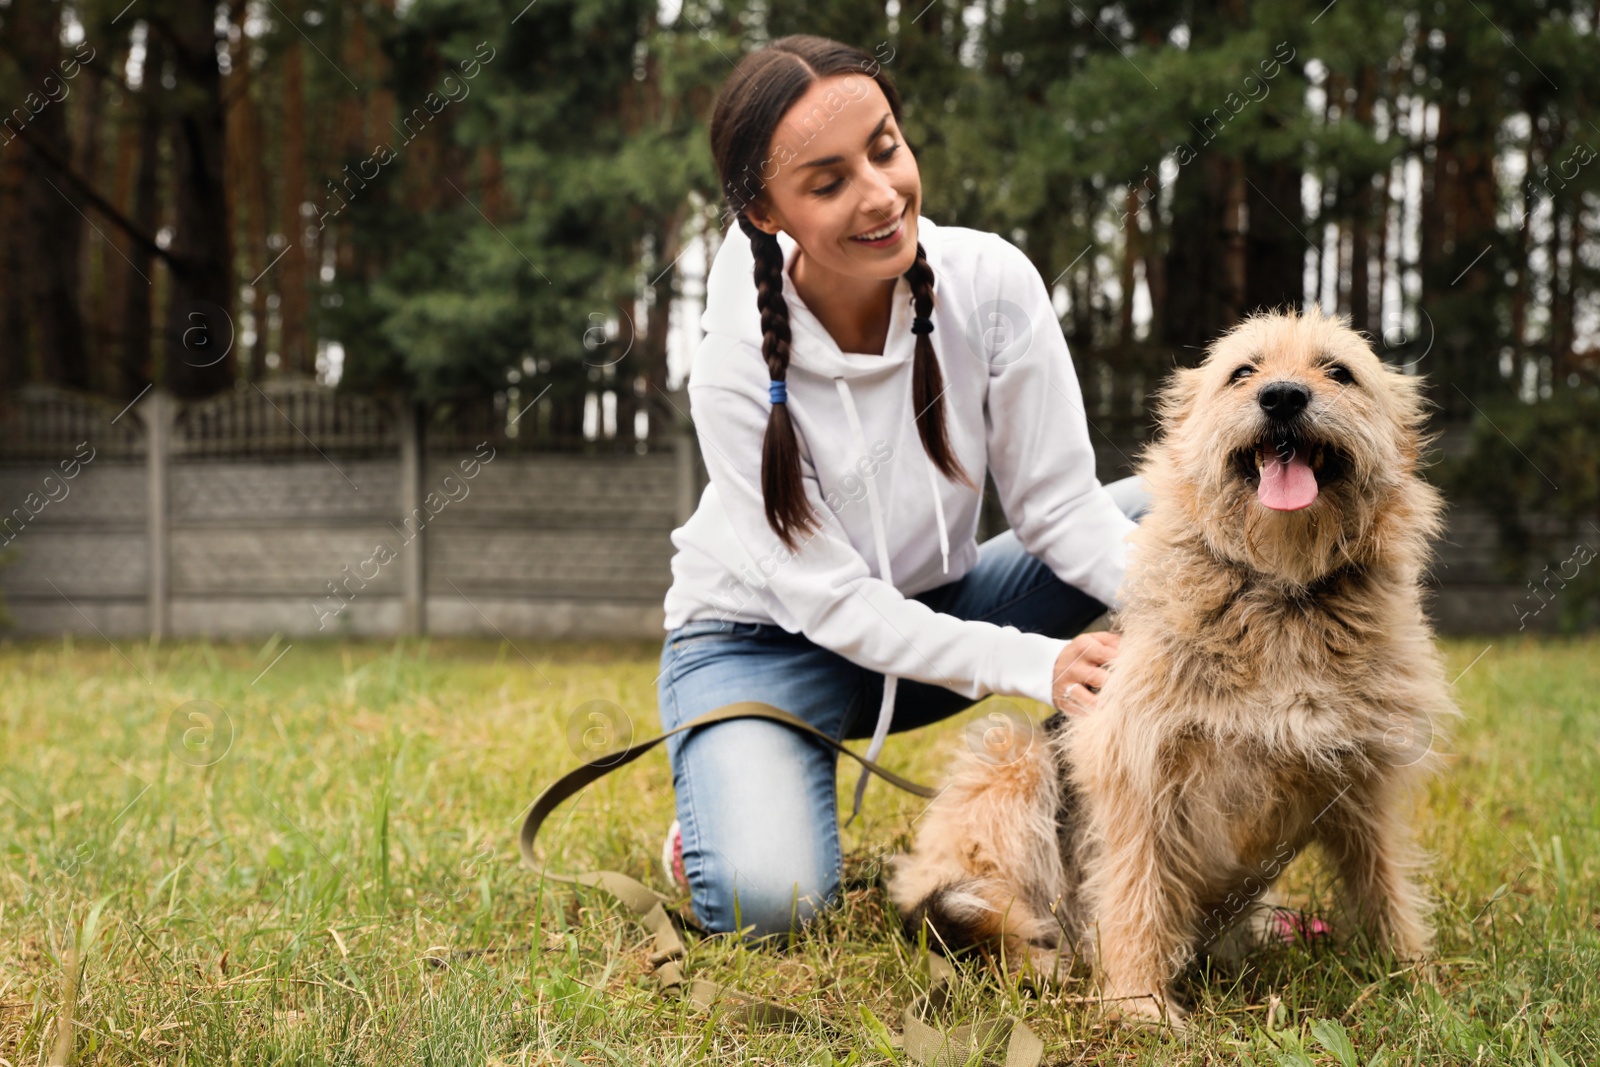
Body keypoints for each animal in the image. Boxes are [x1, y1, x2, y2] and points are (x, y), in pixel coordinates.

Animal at [889, 307, 1465, 1023]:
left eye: (1338, 371)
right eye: (1242, 372)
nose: (1282, 396)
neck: (1280, 597)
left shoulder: (1364, 781)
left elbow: (1383, 879)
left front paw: (1414, 976)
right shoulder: (1135, 768)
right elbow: (1136, 892)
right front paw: (1140, 1003)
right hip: (1011, 758)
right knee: (968, 910)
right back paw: (1036, 960)